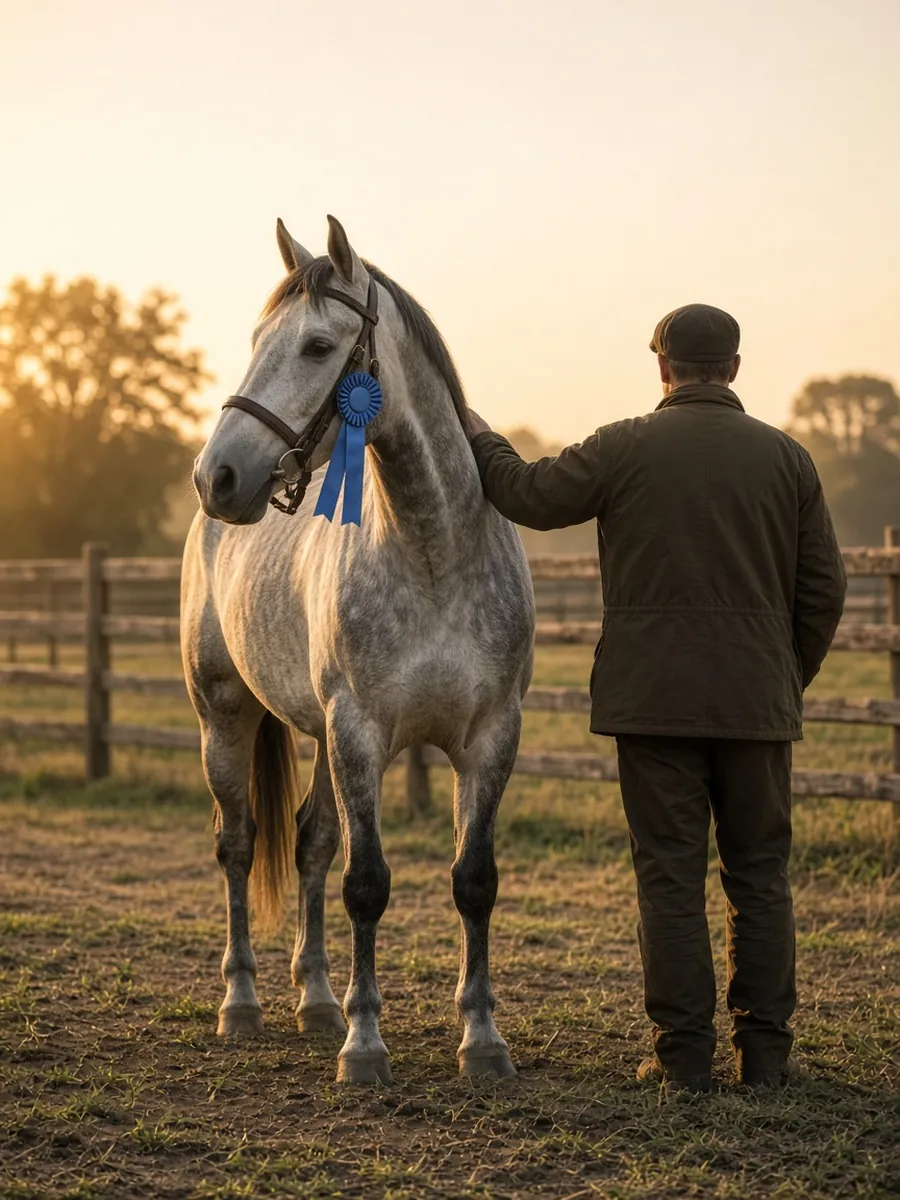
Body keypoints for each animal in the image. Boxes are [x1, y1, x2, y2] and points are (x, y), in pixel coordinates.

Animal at [182, 214, 534, 1085]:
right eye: (256, 339)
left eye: (315, 346)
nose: (217, 475)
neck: (432, 551)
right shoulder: (361, 734)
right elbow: (367, 885)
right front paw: (365, 1045)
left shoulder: (490, 738)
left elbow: (472, 882)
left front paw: (482, 1040)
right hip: (224, 716)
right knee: (239, 846)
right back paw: (242, 1003)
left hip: (313, 735)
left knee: (310, 844)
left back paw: (315, 1001)